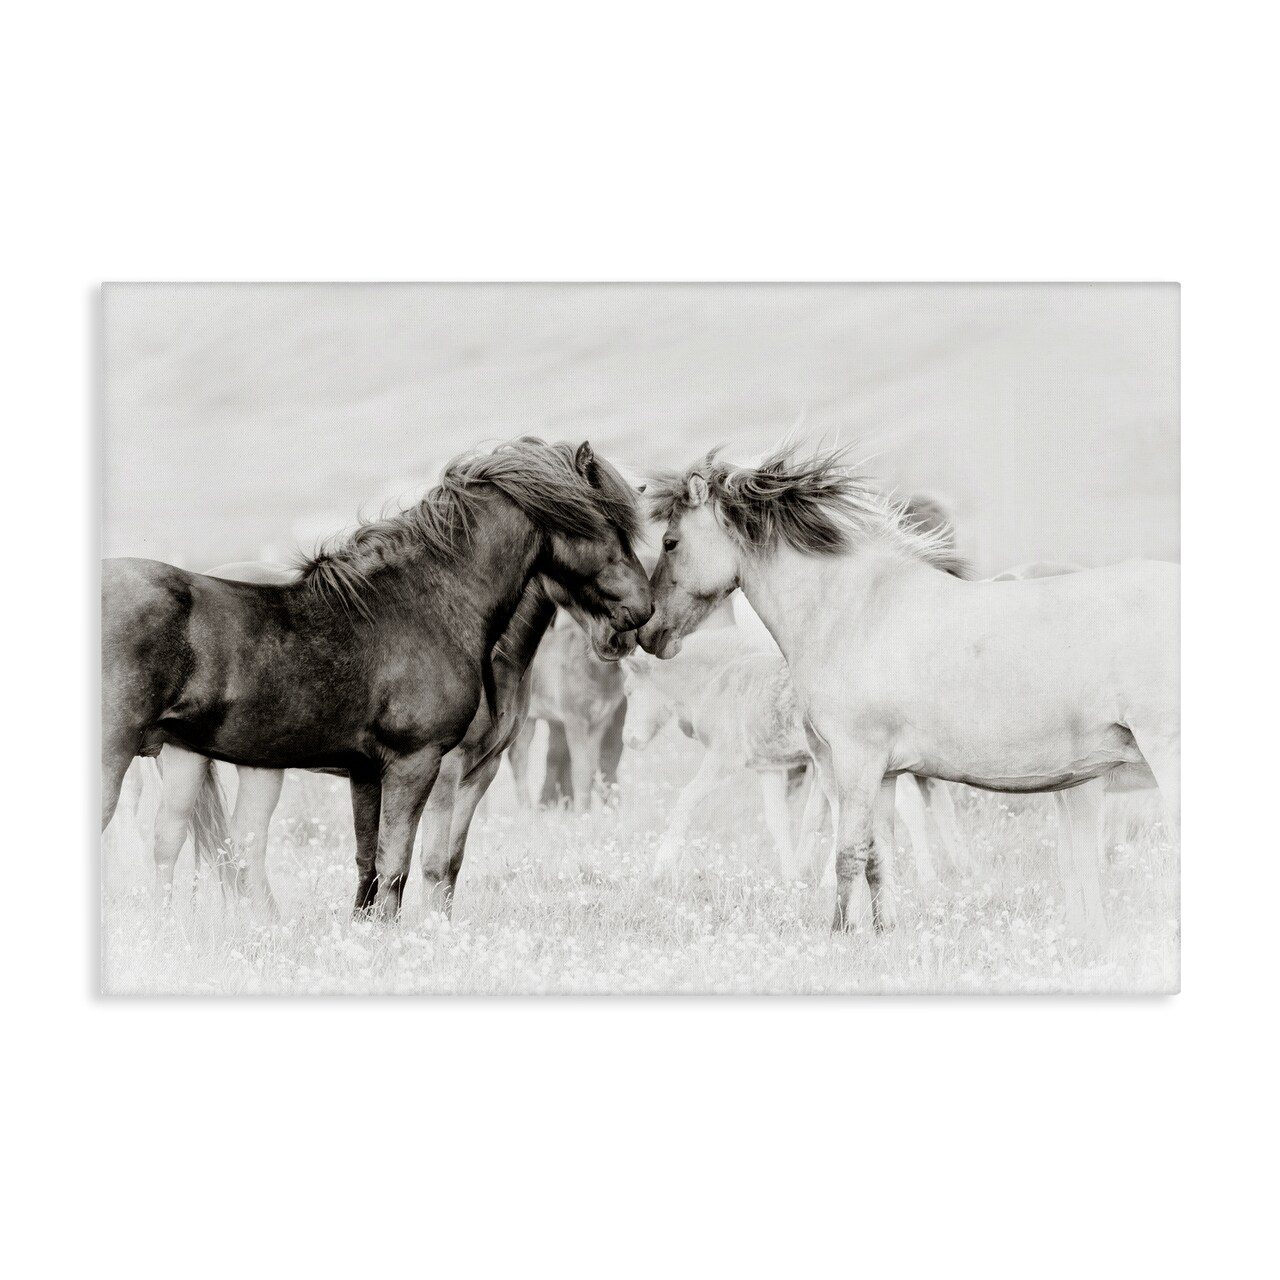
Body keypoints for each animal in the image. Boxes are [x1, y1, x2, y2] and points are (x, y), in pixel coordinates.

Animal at [102, 437, 653, 920]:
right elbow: (401, 867)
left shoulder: (371, 773)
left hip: (200, 758)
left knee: (197, 843)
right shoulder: (421, 764)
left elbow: (370, 868)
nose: (641, 614)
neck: (424, 603)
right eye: (607, 523)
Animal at [620, 628, 971, 882]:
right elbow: (777, 820)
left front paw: (660, 870)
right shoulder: (768, 767)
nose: (629, 739)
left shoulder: (723, 759)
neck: (721, 678)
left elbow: (686, 800)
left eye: (629, 691)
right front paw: (789, 877)